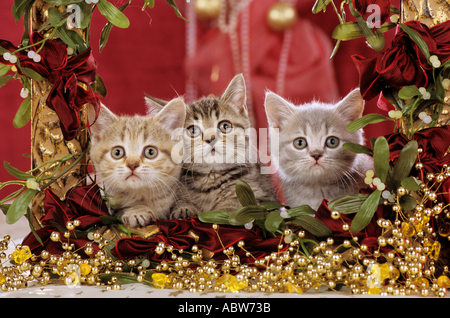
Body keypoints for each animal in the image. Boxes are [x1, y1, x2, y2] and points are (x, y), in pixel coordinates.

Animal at [146, 74, 276, 219]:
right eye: (193, 131)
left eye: (225, 126)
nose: (211, 139)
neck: (211, 178)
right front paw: (184, 208)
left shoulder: (262, 196)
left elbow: (239, 208)